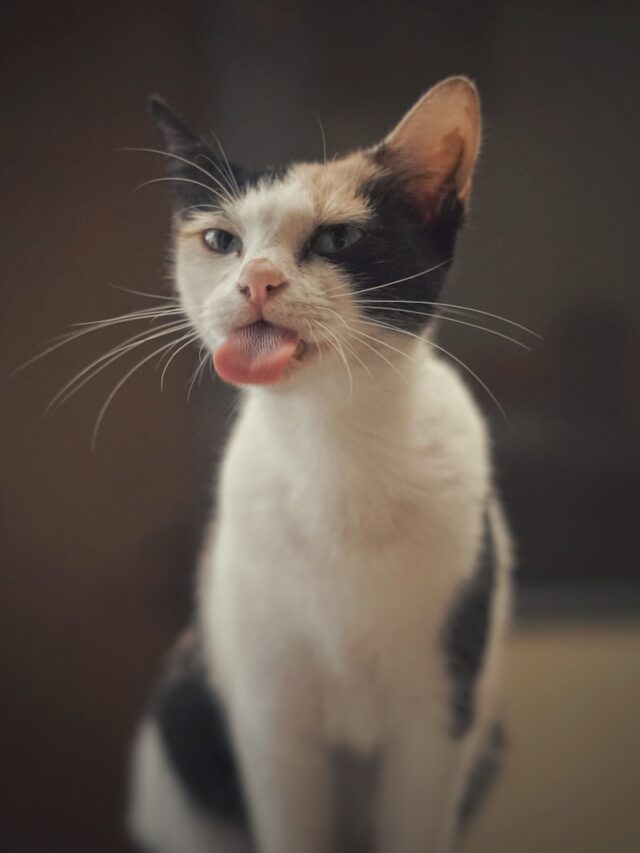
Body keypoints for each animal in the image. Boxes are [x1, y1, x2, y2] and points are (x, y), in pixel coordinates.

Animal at [129, 78, 516, 852]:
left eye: (338, 239)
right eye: (221, 240)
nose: (257, 280)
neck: (333, 447)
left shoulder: (436, 723)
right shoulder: (271, 722)